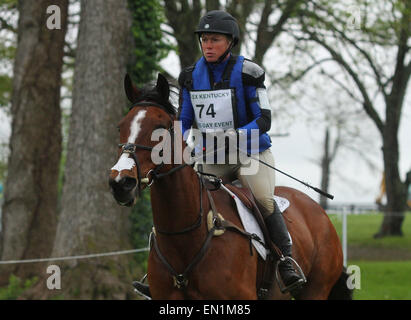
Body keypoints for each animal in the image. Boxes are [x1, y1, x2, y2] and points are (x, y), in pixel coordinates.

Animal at [108, 73, 352, 300]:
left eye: (160, 128)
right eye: (120, 127)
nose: (121, 182)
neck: (185, 237)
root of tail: (319, 210)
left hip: (315, 290)